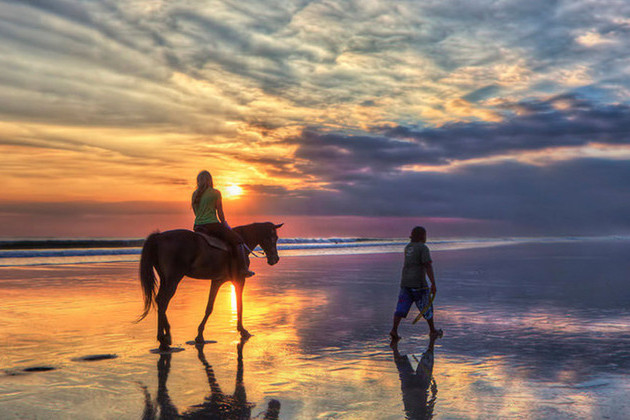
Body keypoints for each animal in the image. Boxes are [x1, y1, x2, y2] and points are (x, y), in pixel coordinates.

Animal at [141, 223, 286, 352]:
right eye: (273, 238)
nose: (275, 259)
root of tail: (159, 237)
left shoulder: (217, 280)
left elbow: (209, 307)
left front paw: (200, 336)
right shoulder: (239, 280)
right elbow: (239, 305)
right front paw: (242, 330)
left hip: (165, 278)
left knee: (160, 301)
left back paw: (166, 338)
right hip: (173, 278)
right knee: (163, 302)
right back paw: (163, 340)